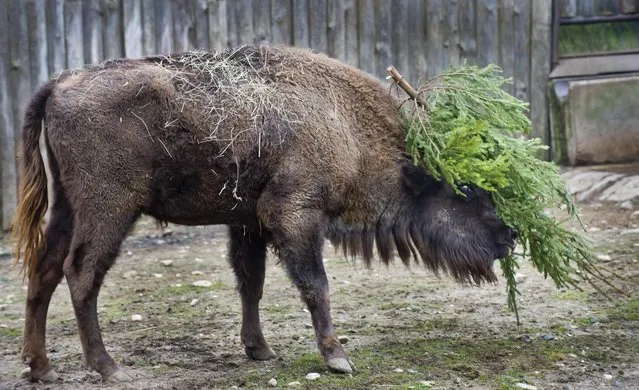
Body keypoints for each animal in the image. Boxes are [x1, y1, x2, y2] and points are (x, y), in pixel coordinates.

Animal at [12, 45, 516, 380]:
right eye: (467, 191)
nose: (509, 237)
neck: (343, 124)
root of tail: (59, 83)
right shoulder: (294, 214)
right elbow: (315, 284)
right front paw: (337, 356)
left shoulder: (248, 223)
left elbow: (250, 283)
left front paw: (260, 350)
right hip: (109, 210)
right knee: (81, 274)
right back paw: (108, 367)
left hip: (66, 209)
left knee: (44, 271)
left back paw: (41, 368)